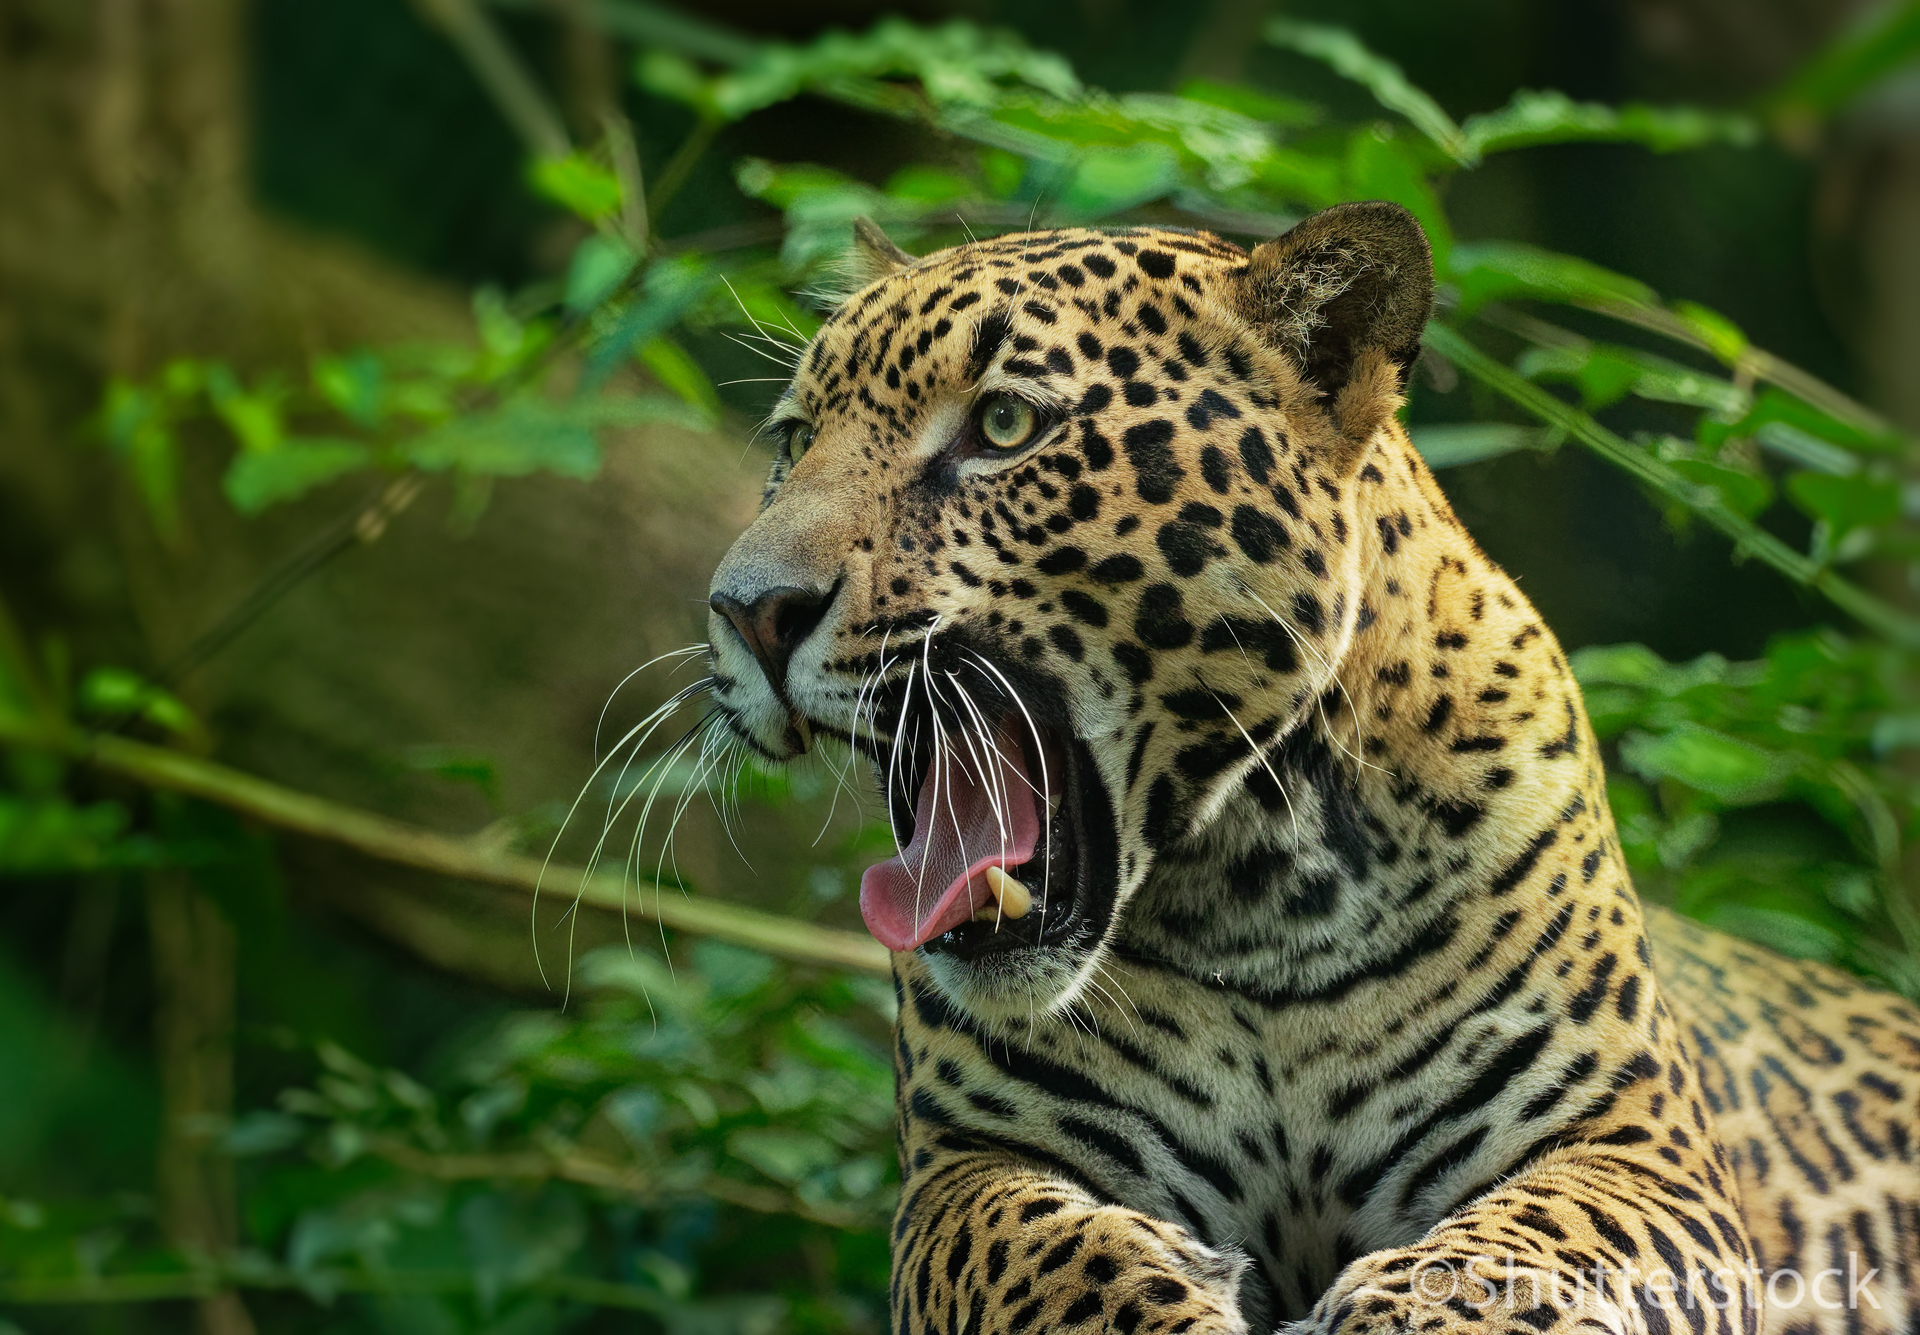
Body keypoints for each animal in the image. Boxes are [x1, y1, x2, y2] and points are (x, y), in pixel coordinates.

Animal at [700, 202, 1920, 1335]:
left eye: (1004, 423)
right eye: (792, 441)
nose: (746, 610)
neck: (1260, 896)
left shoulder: (1631, 1141)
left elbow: (1523, 1251)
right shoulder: (965, 1167)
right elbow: (1047, 1252)